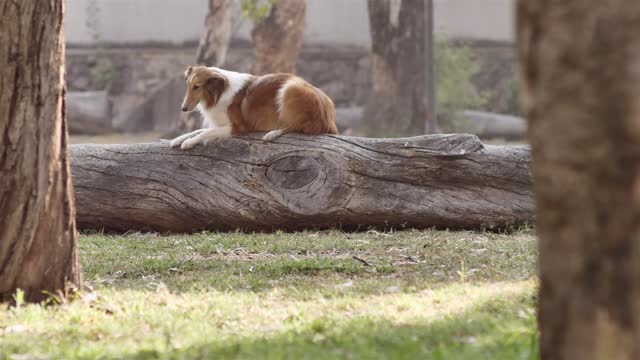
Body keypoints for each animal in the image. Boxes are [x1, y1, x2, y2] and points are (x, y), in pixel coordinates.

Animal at [170, 66, 340, 149]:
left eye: (197, 87)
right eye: (188, 85)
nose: (183, 109)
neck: (219, 91)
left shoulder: (237, 126)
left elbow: (206, 132)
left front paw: (189, 143)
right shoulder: (220, 123)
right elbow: (198, 130)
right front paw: (177, 139)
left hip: (291, 87)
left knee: (298, 126)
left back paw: (272, 133)